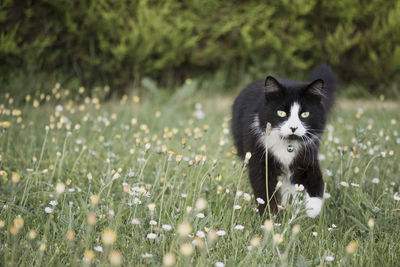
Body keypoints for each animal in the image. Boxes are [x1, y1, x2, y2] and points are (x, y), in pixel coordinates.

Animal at [230, 63, 336, 219]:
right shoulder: (260, 162)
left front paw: (311, 209)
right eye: (281, 113)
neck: (288, 144)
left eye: (305, 114)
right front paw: (270, 217)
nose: (293, 127)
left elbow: (316, 181)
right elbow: (264, 192)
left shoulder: (308, 155)